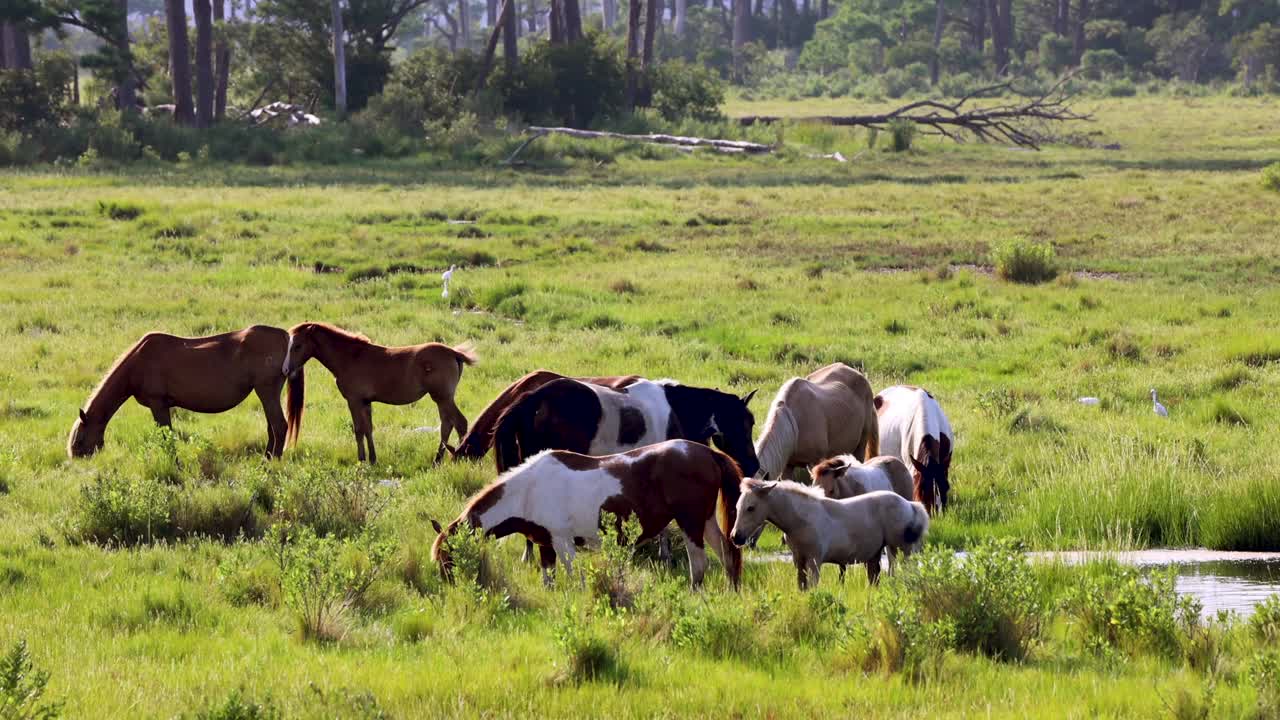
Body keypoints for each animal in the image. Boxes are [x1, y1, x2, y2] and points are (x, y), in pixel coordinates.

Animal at [71, 324, 305, 456]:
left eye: (79, 441)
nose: (76, 457)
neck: (138, 362)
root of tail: (286, 337)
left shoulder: (158, 404)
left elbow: (166, 438)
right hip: (267, 394)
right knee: (272, 429)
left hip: (266, 392)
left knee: (280, 427)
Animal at [280, 322, 476, 461]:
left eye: (297, 346)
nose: (285, 370)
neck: (350, 357)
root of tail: (453, 352)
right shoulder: (366, 402)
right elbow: (368, 429)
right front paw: (373, 459)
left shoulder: (354, 400)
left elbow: (358, 429)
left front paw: (361, 460)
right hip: (441, 399)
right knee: (447, 425)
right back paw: (437, 460)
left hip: (443, 397)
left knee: (460, 423)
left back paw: (460, 457)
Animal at [732, 476, 931, 589]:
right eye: (737, 507)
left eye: (751, 507)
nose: (736, 537)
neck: (801, 520)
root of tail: (910, 505)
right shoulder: (798, 560)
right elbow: (801, 587)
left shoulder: (814, 560)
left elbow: (813, 587)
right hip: (881, 552)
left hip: (903, 548)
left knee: (908, 569)